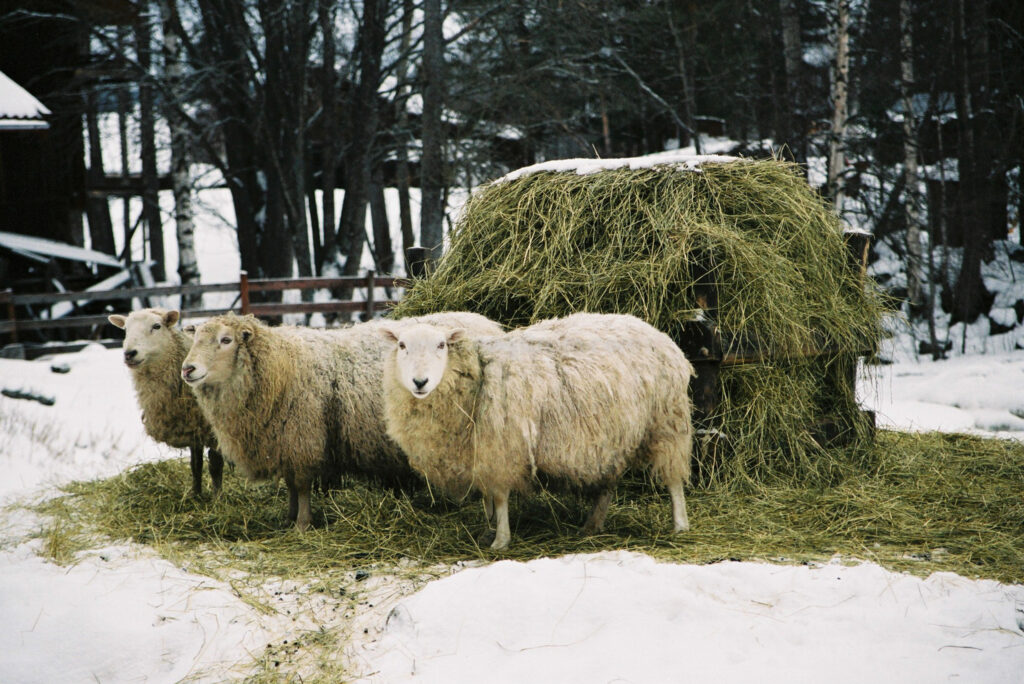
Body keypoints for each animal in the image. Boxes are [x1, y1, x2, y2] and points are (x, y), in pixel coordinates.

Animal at [108, 309, 224, 497]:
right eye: (125, 329)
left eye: (157, 326)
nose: (129, 354)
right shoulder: (192, 429)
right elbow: (196, 465)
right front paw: (196, 495)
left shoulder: (215, 430)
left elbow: (215, 465)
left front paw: (218, 498)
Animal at [183, 309, 503, 528]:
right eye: (195, 338)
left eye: (225, 340)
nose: (188, 369)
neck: (280, 365)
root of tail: (489, 323)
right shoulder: (285, 441)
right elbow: (290, 484)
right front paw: (289, 518)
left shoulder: (303, 437)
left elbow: (301, 485)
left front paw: (302, 524)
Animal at [378, 313, 696, 548]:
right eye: (402, 345)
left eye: (441, 345)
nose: (420, 382)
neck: (478, 373)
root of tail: (660, 334)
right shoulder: (481, 451)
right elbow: (486, 497)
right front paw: (486, 531)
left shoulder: (502, 446)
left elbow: (499, 497)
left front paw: (500, 540)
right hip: (612, 435)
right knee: (608, 482)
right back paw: (592, 525)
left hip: (665, 423)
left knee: (673, 481)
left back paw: (680, 525)